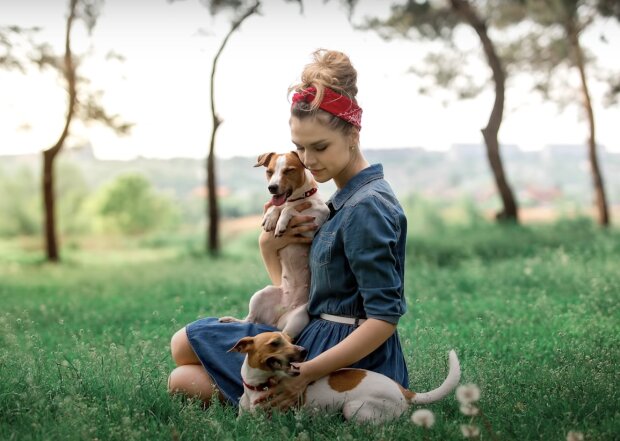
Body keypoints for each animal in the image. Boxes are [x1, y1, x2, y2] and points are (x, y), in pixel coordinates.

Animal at [219, 151, 332, 336]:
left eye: (289, 170)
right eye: (269, 171)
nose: (272, 187)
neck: (296, 198)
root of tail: (277, 319)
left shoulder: (312, 228)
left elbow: (287, 209)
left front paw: (281, 221)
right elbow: (277, 207)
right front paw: (271, 218)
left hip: (299, 318)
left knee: (286, 337)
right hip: (262, 294)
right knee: (249, 320)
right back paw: (231, 320)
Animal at [229, 332, 460, 422]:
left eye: (290, 340)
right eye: (275, 343)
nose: (304, 350)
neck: (256, 388)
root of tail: (404, 390)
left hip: (353, 409)